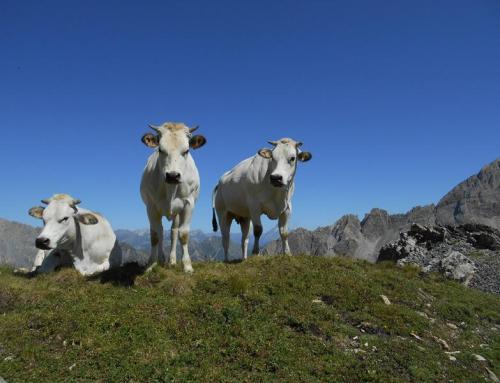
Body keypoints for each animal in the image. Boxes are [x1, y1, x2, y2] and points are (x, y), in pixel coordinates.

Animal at [140, 121, 206, 274]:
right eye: (160, 149)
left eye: (186, 150)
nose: (172, 175)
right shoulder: (151, 207)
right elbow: (155, 235)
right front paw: (151, 264)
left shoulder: (188, 204)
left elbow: (183, 234)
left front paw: (187, 266)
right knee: (160, 231)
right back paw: (161, 259)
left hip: (176, 211)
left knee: (174, 231)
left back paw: (172, 260)